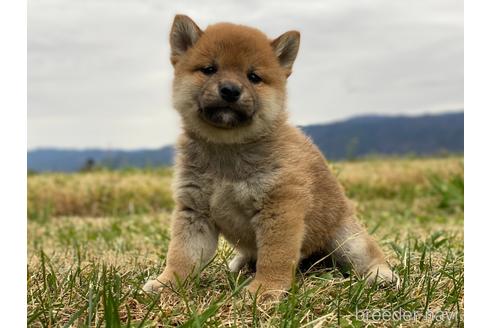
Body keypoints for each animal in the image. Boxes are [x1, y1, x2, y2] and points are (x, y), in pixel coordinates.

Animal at [143, 14, 400, 298]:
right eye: (209, 69)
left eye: (253, 76)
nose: (230, 90)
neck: (227, 150)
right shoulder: (194, 212)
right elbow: (181, 256)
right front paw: (167, 283)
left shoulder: (280, 208)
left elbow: (275, 257)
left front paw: (265, 289)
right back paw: (239, 265)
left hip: (347, 239)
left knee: (369, 255)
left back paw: (381, 275)